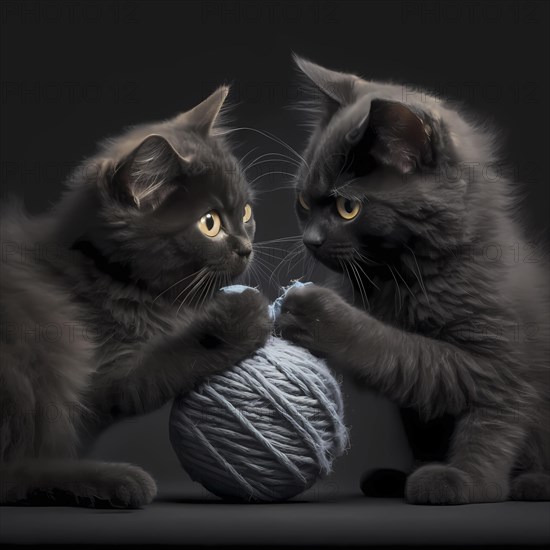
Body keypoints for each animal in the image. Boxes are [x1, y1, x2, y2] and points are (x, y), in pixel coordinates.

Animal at [1, 87, 272, 508]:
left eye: (245, 212)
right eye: (209, 223)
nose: (246, 248)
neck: (104, 272)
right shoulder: (105, 376)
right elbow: (167, 361)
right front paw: (244, 312)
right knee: (14, 473)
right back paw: (116, 481)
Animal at [280, 58, 550, 506]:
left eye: (348, 207)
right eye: (303, 201)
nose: (311, 240)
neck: (404, 277)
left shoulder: (500, 363)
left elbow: (482, 424)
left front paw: (465, 482)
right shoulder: (422, 410)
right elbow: (422, 418)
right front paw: (415, 473)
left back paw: (534, 483)